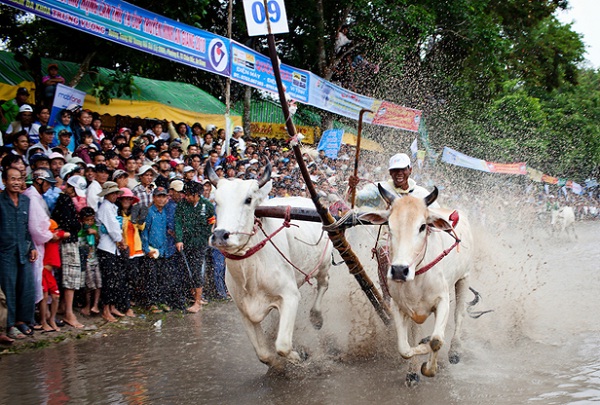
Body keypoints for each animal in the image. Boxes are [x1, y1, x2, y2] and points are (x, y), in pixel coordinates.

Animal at [207, 163, 332, 368]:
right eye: (216, 201)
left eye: (248, 200)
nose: (220, 235)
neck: (250, 274)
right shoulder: (244, 310)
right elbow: (263, 354)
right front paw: (276, 363)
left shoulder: (290, 296)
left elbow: (282, 345)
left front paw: (299, 356)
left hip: (324, 264)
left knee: (324, 284)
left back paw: (317, 317)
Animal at [358, 185, 476, 380]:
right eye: (389, 225)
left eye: (422, 226)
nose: (399, 270)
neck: (417, 278)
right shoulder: (399, 306)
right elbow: (405, 348)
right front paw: (414, 365)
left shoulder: (442, 300)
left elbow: (436, 341)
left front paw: (429, 368)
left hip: (464, 278)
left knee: (459, 315)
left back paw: (455, 351)